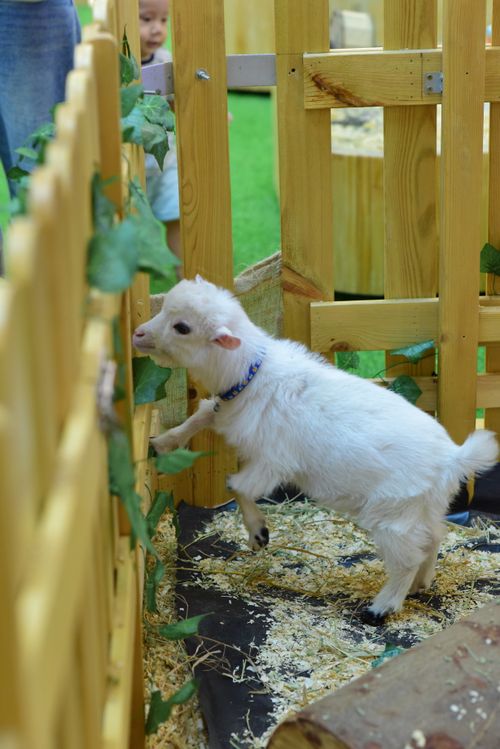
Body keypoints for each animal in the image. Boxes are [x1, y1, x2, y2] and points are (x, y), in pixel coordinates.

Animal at [133, 276, 498, 621]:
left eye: (182, 327)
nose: (137, 334)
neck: (251, 376)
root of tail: (453, 458)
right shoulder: (226, 414)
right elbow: (203, 414)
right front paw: (160, 443)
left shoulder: (273, 460)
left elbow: (236, 486)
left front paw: (258, 534)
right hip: (426, 507)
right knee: (434, 538)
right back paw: (422, 583)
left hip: (393, 513)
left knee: (408, 557)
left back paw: (382, 607)